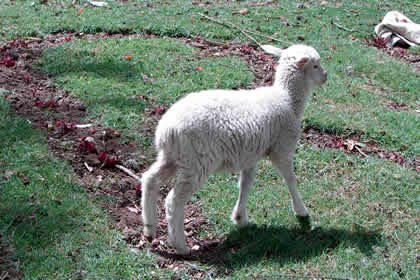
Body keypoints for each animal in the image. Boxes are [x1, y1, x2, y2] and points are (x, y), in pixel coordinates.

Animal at [141, 43, 328, 254]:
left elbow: (245, 184)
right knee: (174, 201)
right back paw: (180, 245)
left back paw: (149, 228)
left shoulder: (250, 155)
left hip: (174, 157)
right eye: (315, 65)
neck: (287, 98)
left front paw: (240, 218)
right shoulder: (282, 148)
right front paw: (301, 211)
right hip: (196, 162)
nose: (326, 76)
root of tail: (166, 130)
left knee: (149, 180)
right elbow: (290, 179)